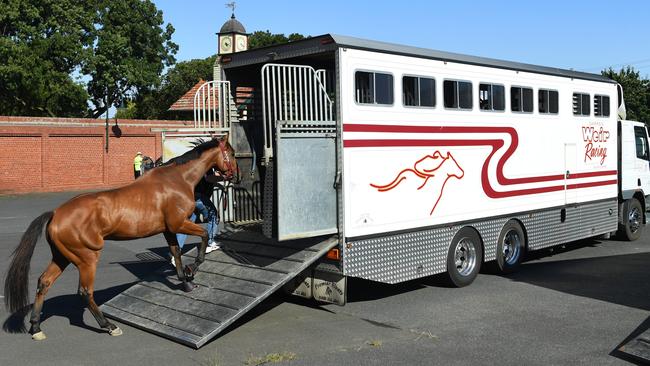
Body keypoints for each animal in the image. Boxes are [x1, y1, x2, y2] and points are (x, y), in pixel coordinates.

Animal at [3, 134, 237, 340]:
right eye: (232, 153)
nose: (235, 174)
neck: (177, 179)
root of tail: (55, 214)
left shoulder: (168, 229)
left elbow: (176, 252)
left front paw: (185, 281)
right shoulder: (179, 224)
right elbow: (204, 236)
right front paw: (192, 270)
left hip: (62, 257)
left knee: (44, 282)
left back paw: (36, 328)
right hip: (87, 259)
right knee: (85, 292)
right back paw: (109, 326)